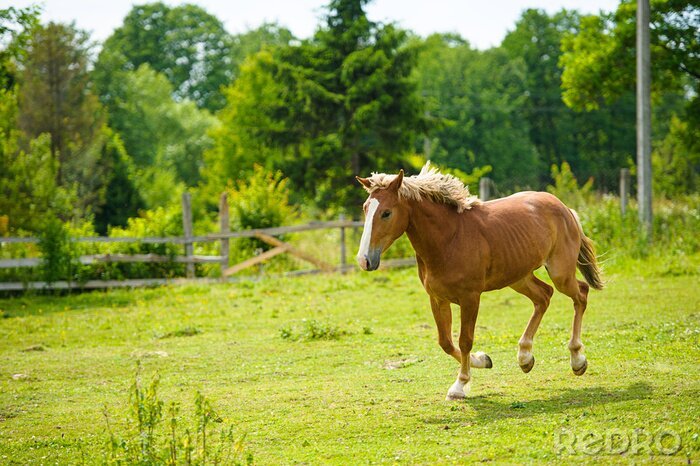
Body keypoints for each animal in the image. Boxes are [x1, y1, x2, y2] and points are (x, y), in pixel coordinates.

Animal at [355, 162, 603, 400]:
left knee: (581, 293)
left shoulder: (470, 298)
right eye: (366, 208)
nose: (364, 260)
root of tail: (564, 208)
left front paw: (460, 386)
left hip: (560, 273)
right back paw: (525, 358)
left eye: (386, 213)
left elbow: (465, 340)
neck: (449, 240)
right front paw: (483, 360)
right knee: (544, 296)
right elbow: (445, 342)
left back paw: (577, 360)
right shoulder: (438, 298)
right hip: (518, 277)